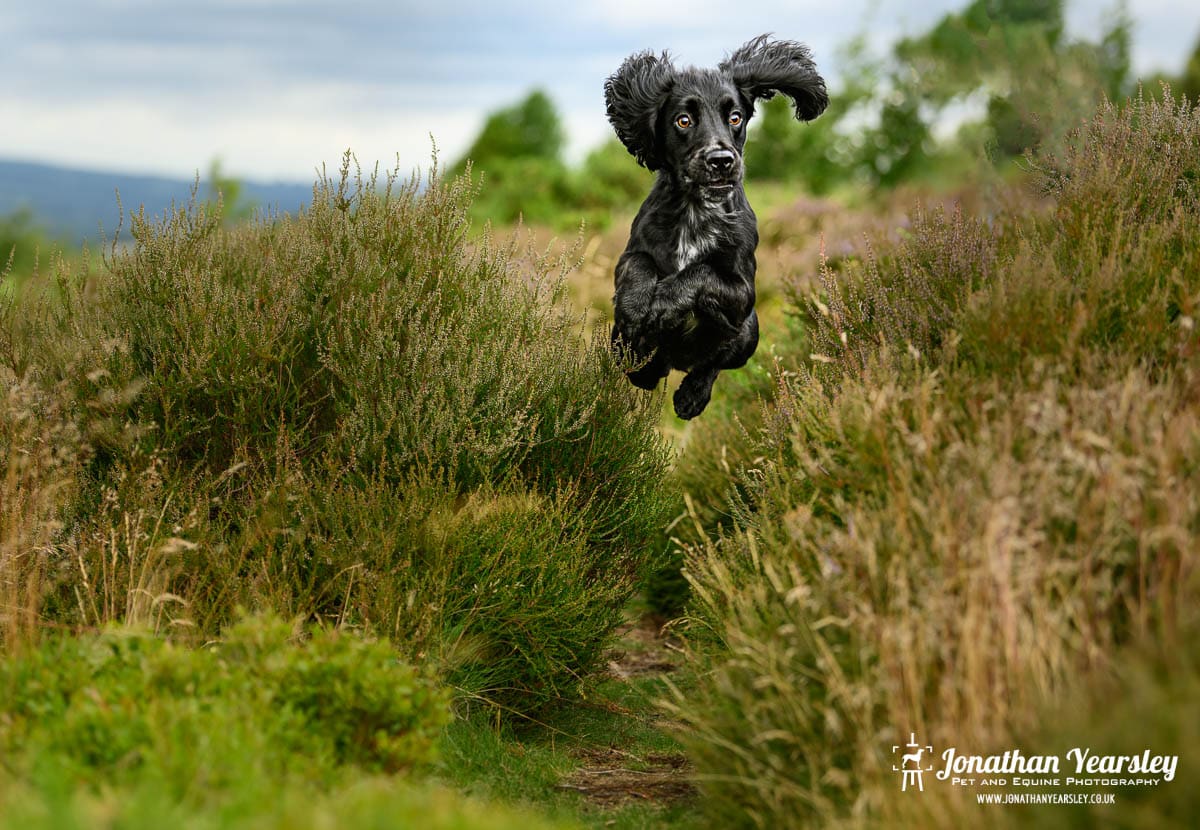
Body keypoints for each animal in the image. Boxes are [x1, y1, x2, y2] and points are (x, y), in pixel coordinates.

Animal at [609, 34, 825, 417]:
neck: (697, 209)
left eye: (735, 117)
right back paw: (642, 366)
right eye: (683, 121)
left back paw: (692, 395)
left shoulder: (742, 291)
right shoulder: (632, 251)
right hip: (615, 338)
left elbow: (701, 273)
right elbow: (639, 264)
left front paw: (661, 303)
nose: (721, 161)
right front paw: (637, 307)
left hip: (749, 330)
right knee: (641, 365)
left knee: (712, 363)